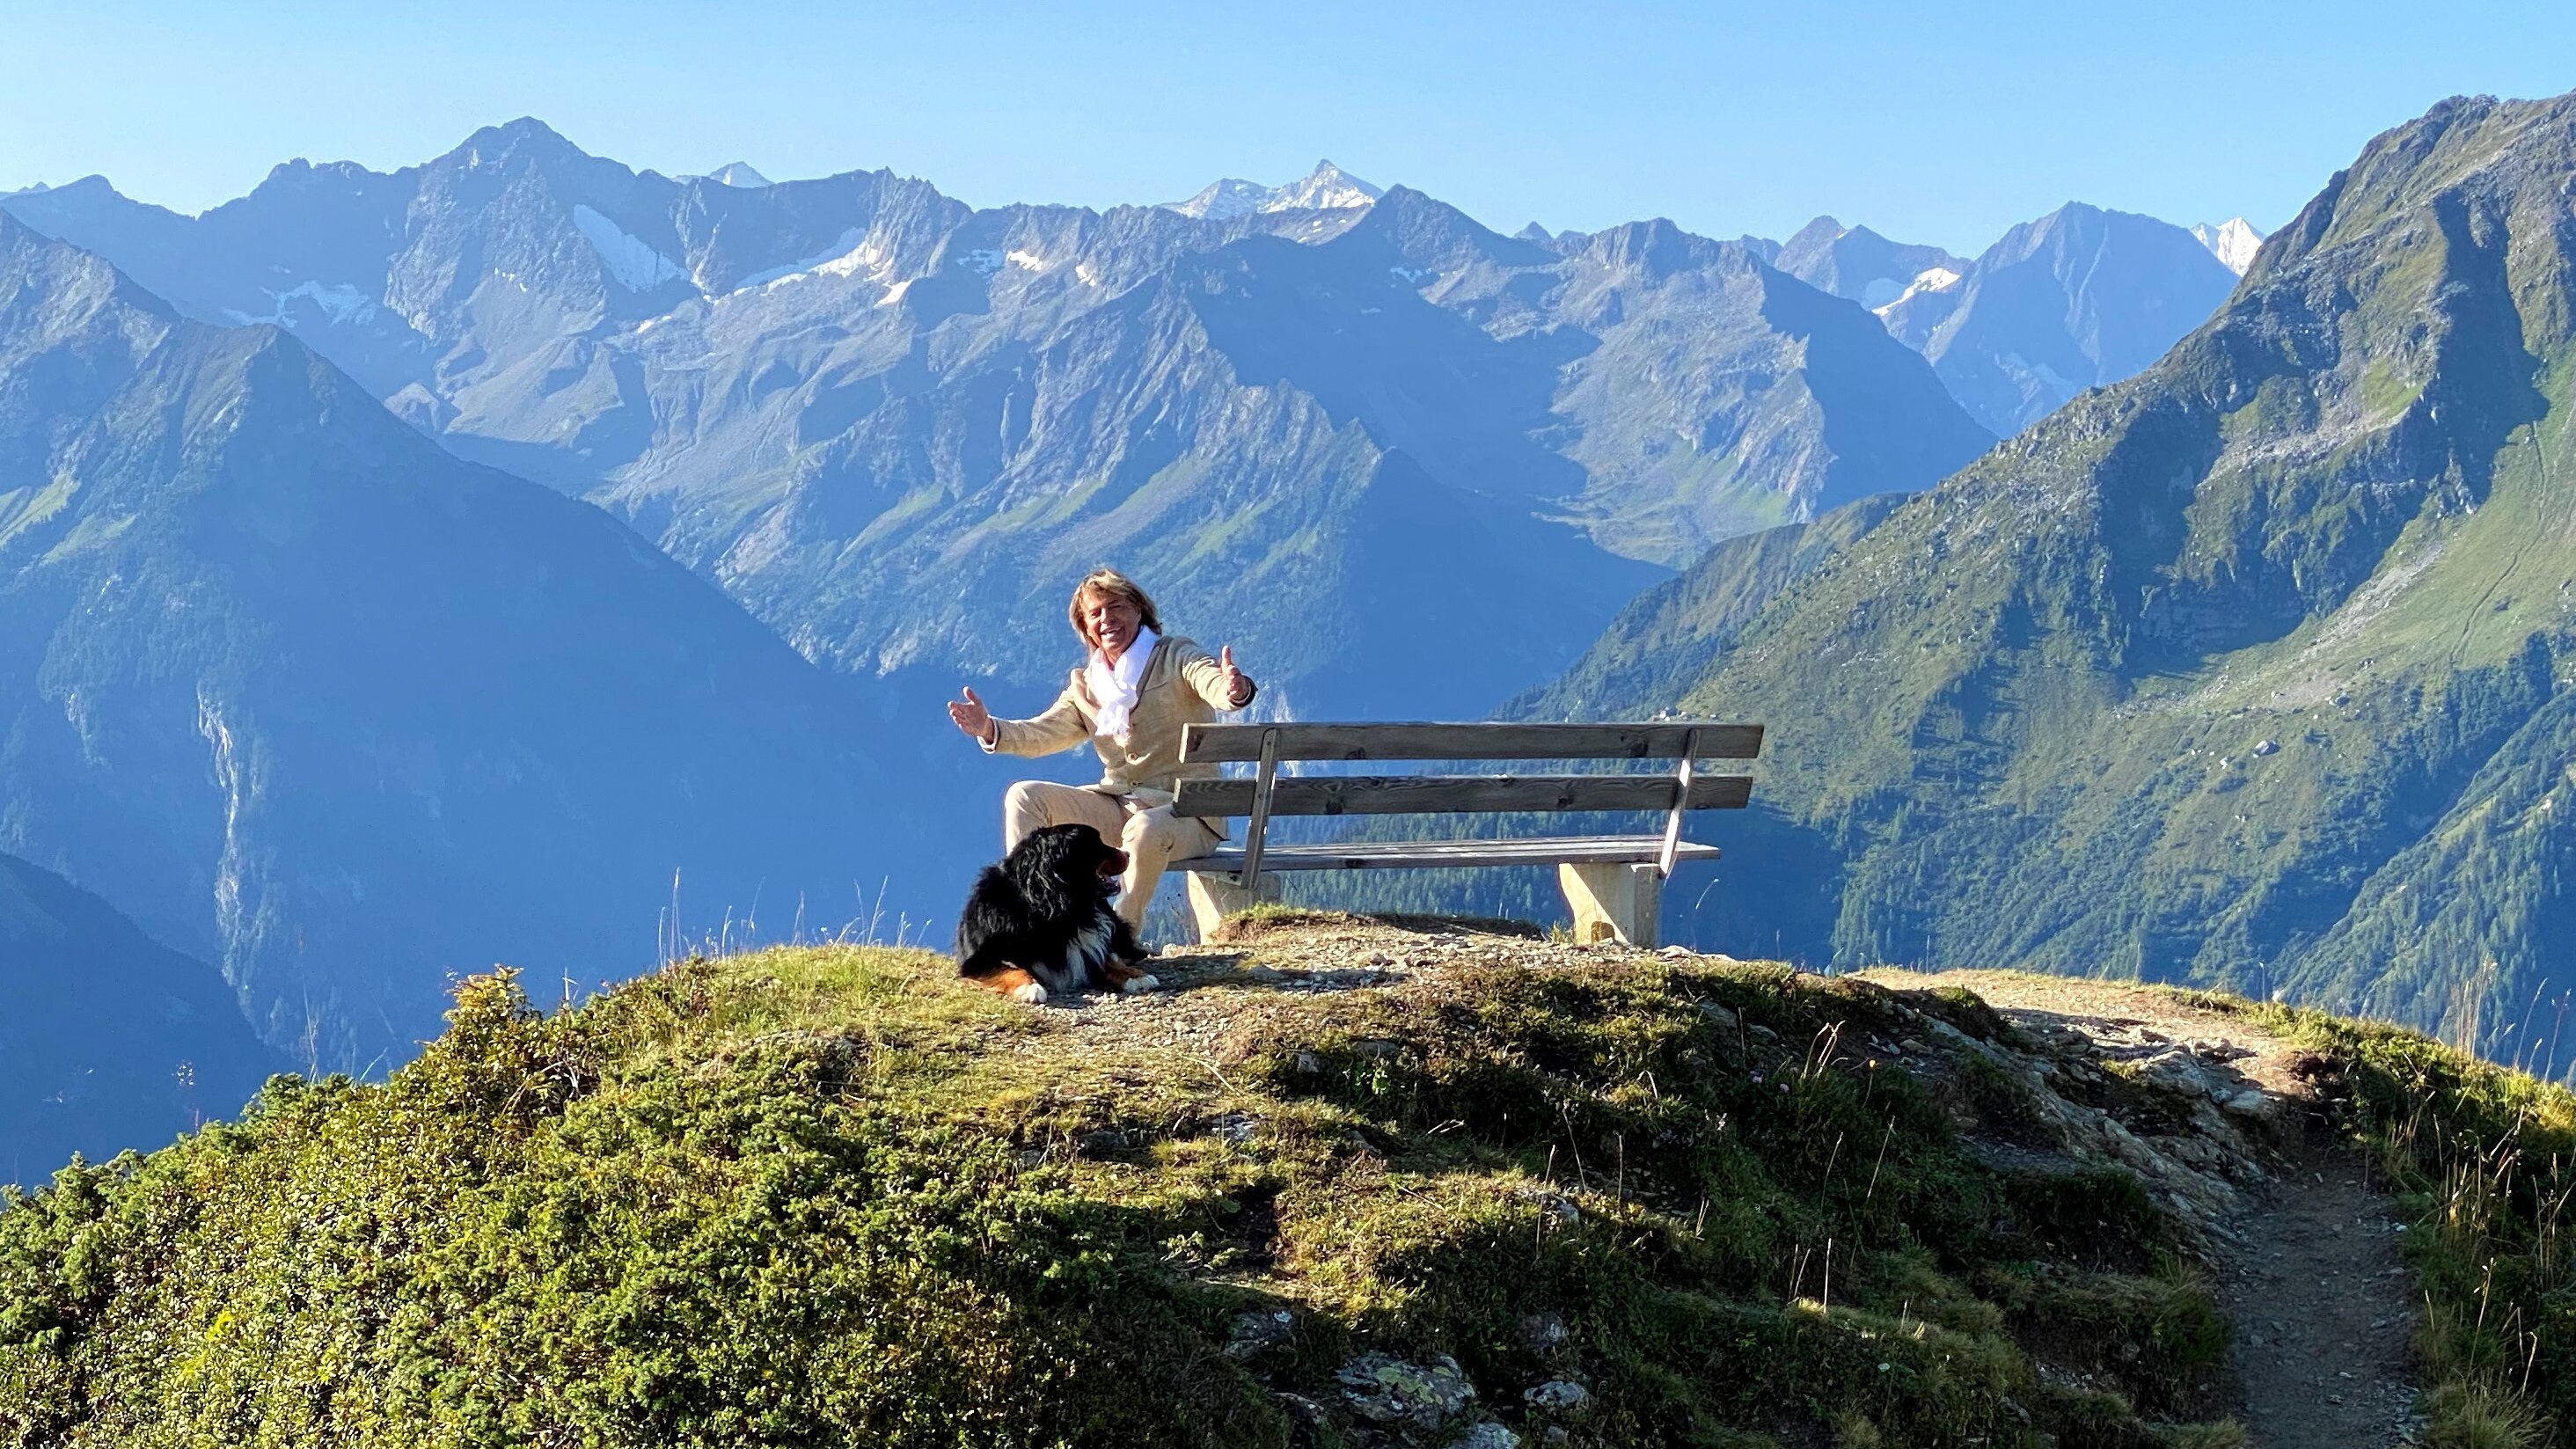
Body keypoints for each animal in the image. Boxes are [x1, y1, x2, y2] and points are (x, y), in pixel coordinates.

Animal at [958, 819, 1159, 1000]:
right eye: (1096, 842)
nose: (1128, 853)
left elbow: (1105, 960)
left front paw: (1136, 976)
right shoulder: (979, 960)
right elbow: (1010, 969)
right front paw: (1029, 987)